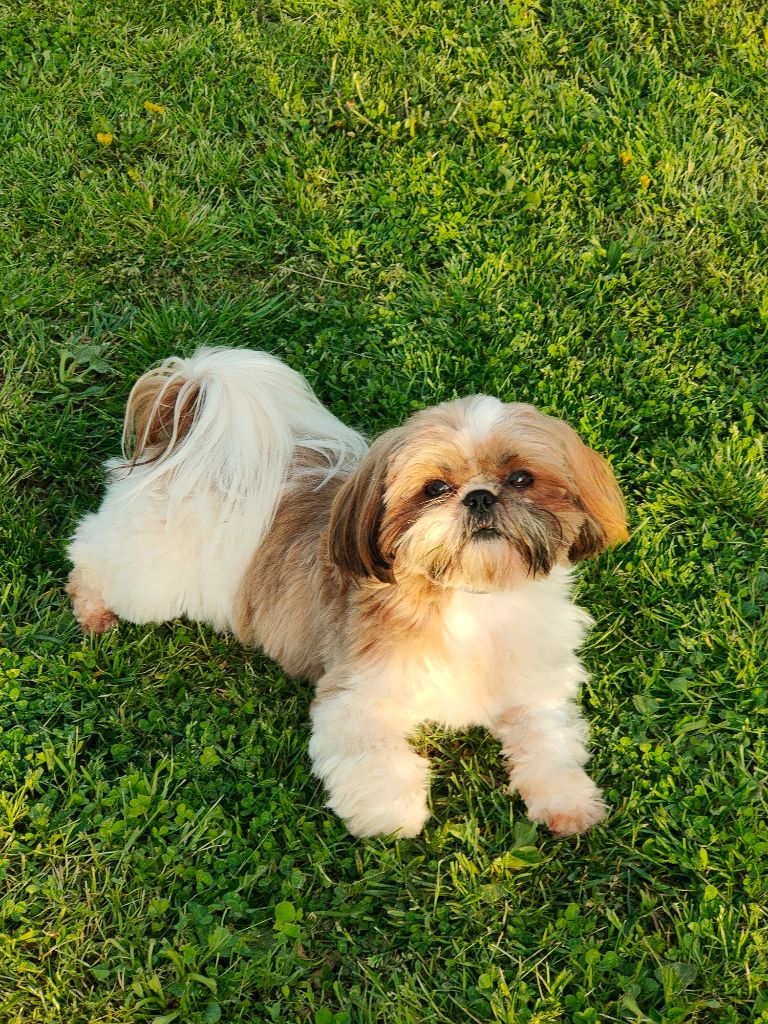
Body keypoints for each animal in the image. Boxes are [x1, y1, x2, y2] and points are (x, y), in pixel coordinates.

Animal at [66, 348, 626, 835]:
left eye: (521, 478)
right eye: (435, 488)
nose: (481, 496)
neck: (471, 599)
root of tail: (180, 441)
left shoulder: (535, 684)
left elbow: (547, 738)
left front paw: (567, 800)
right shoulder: (360, 692)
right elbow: (374, 756)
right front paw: (392, 814)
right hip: (152, 573)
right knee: (91, 550)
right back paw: (93, 608)